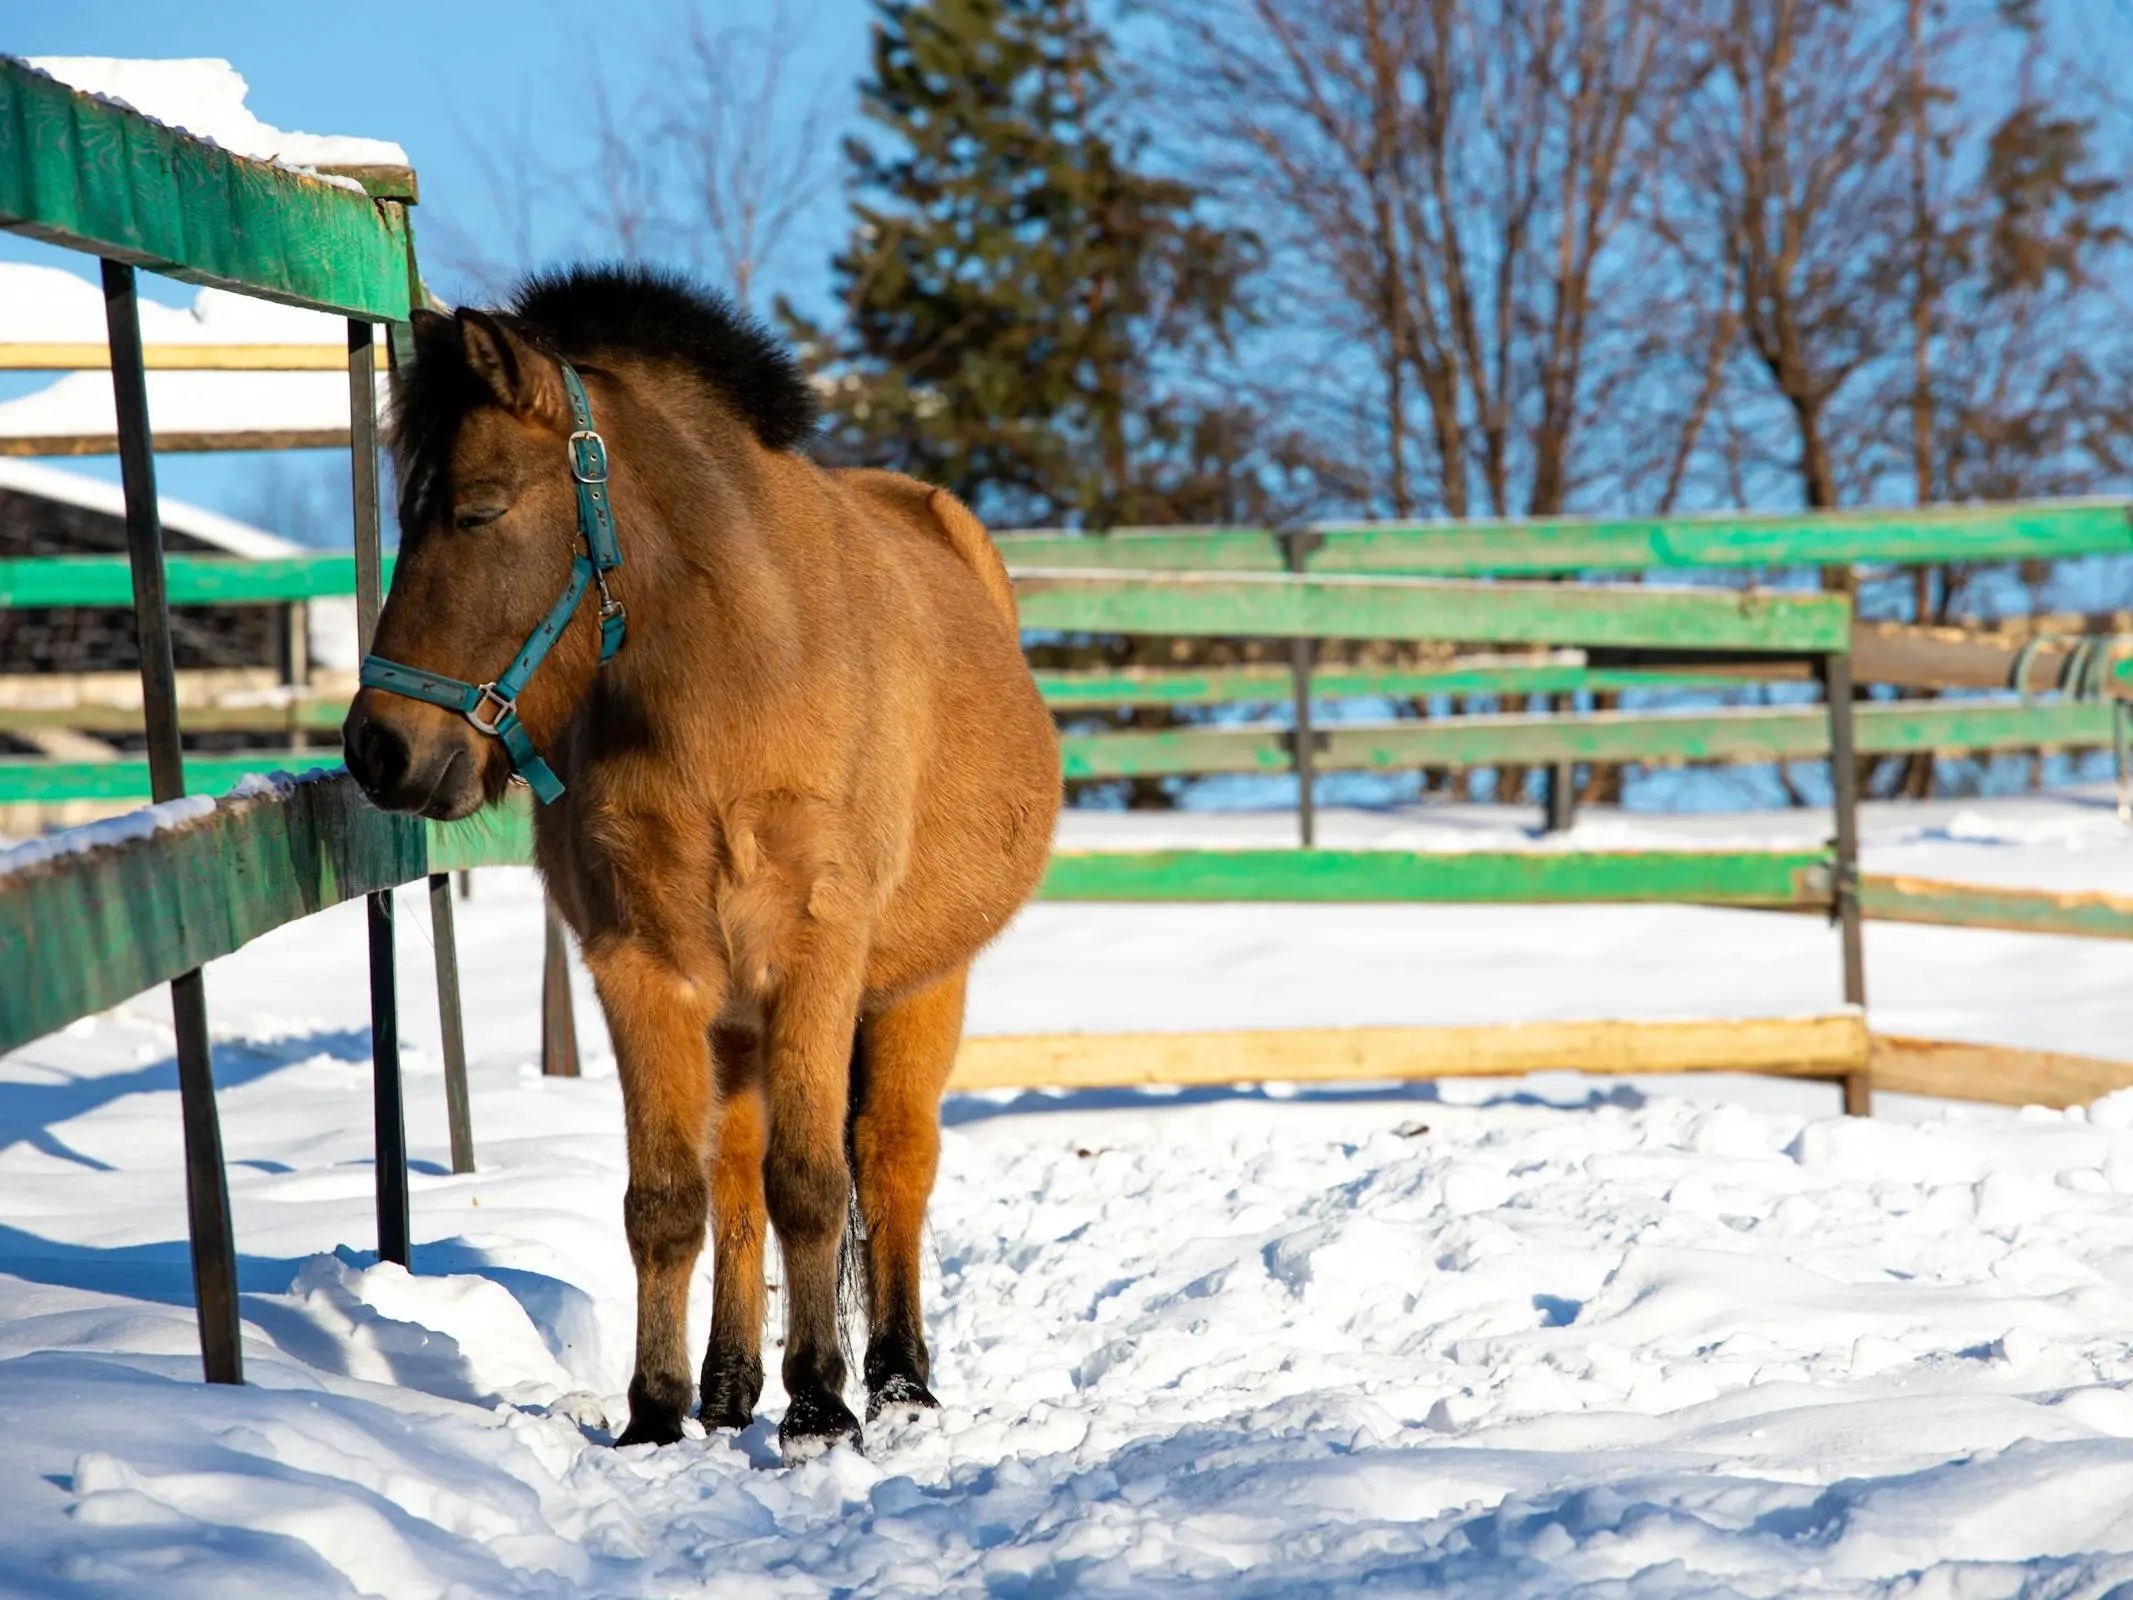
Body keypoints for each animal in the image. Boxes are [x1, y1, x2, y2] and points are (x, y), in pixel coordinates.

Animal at [347, 266, 1066, 1467]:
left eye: (478, 508)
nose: (378, 748)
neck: (735, 682)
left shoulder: (817, 959)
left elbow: (815, 1182)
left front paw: (822, 1407)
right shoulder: (644, 970)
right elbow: (666, 1198)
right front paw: (654, 1409)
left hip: (920, 985)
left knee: (893, 1157)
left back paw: (899, 1382)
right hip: (733, 1018)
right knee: (733, 1173)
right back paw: (730, 1388)